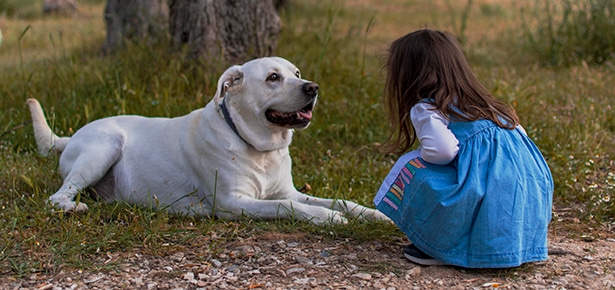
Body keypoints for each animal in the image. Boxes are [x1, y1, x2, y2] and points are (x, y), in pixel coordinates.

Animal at [27, 56, 390, 224]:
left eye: (297, 74)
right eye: (273, 77)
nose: (312, 88)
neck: (258, 148)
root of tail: (71, 136)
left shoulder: (288, 190)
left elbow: (339, 200)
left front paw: (372, 214)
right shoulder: (234, 202)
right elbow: (287, 207)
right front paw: (326, 218)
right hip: (104, 146)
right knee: (56, 197)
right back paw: (74, 207)